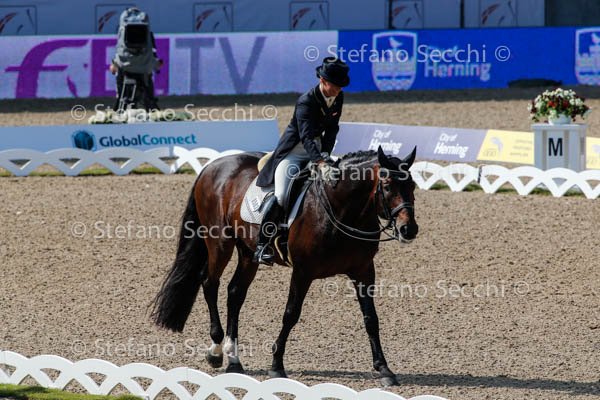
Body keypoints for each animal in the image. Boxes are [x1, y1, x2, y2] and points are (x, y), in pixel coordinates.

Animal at [151, 145, 419, 386]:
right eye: (387, 186)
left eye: (413, 186)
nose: (409, 229)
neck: (341, 209)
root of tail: (211, 166)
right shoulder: (303, 271)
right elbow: (291, 314)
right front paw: (276, 365)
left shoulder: (363, 271)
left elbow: (371, 319)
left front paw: (384, 369)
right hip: (219, 243)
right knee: (209, 284)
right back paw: (216, 351)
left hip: (248, 252)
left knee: (235, 293)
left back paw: (234, 359)